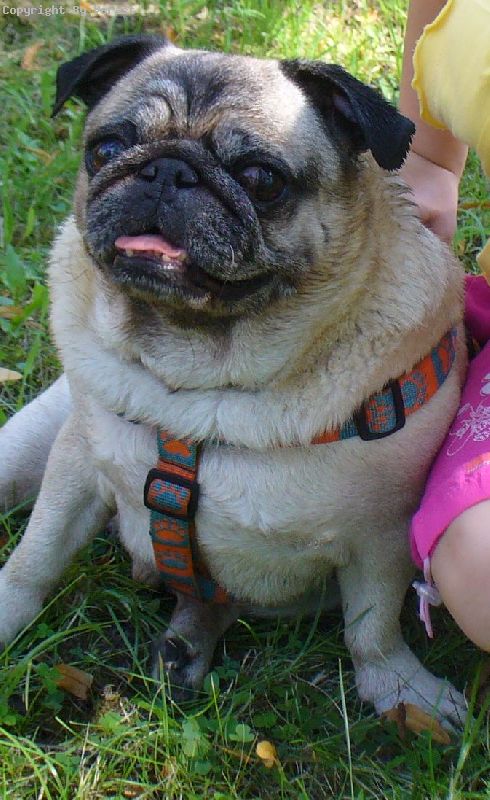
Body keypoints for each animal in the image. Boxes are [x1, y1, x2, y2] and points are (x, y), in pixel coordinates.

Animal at [0, 35, 467, 727]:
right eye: (106, 148)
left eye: (260, 179)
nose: (167, 171)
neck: (198, 384)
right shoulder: (76, 466)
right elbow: (34, 558)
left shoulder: (382, 538)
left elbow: (372, 627)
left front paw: (402, 689)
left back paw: (186, 642)